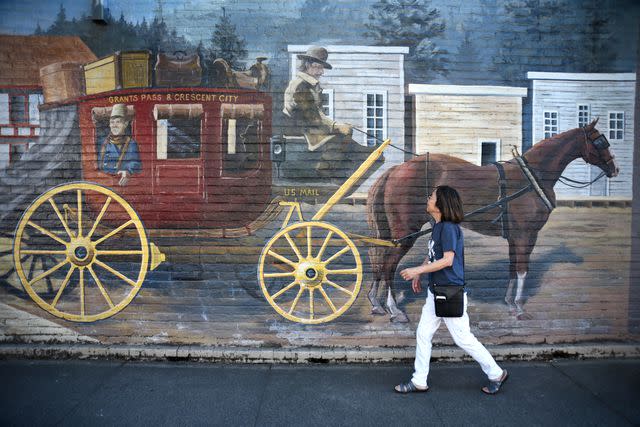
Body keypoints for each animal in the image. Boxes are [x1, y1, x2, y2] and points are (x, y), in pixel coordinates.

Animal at [368, 118, 616, 322]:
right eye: (600, 142)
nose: (615, 168)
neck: (531, 177)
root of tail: (396, 170)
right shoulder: (526, 235)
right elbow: (522, 269)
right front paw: (519, 307)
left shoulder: (515, 238)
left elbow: (512, 268)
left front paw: (510, 303)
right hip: (405, 233)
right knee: (388, 265)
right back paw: (394, 309)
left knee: (380, 261)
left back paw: (377, 303)